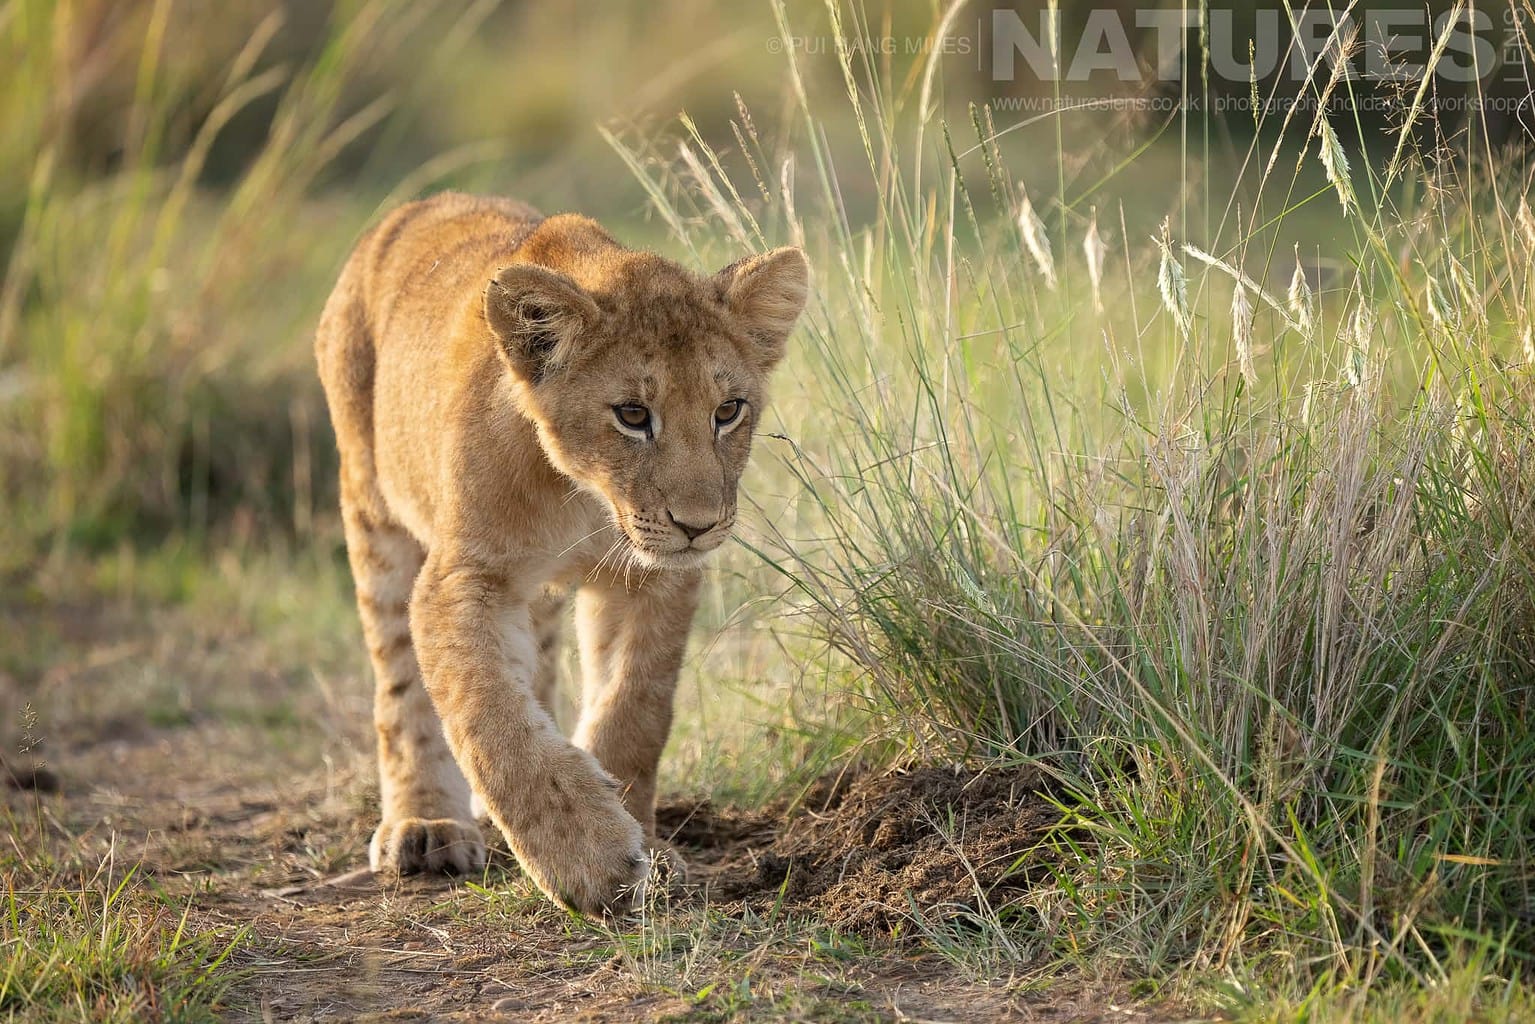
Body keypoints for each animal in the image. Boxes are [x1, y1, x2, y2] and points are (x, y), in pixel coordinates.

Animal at [314, 192, 807, 914]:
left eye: (728, 410)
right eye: (632, 415)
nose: (698, 525)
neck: (585, 497)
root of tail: (409, 208)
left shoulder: (651, 579)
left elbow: (633, 708)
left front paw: (645, 849)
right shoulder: (463, 576)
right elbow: (489, 715)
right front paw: (588, 859)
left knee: (538, 668)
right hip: (372, 508)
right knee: (400, 685)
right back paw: (426, 824)